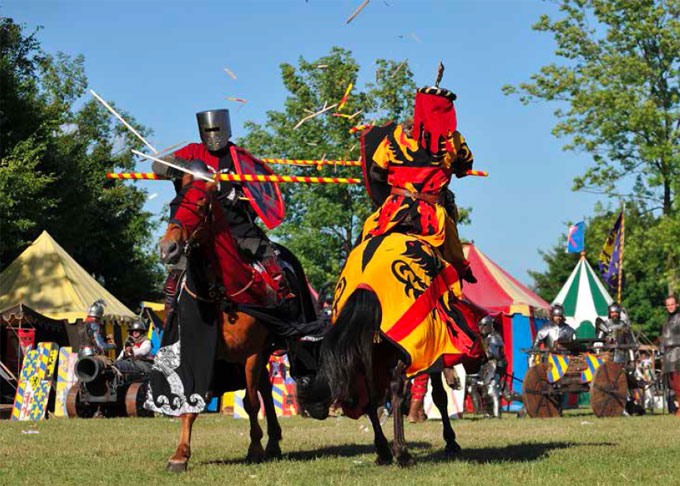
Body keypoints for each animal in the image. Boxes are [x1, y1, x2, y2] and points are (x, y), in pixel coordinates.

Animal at [154, 170, 314, 470]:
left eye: (200, 205)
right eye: (173, 204)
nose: (168, 248)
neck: (221, 290)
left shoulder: (251, 353)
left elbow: (251, 403)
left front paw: (254, 448)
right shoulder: (200, 353)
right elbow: (193, 401)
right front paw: (180, 455)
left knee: (261, 391)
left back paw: (270, 443)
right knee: (265, 387)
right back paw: (273, 442)